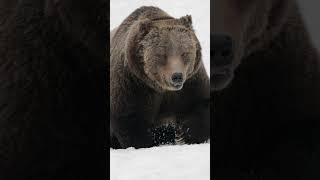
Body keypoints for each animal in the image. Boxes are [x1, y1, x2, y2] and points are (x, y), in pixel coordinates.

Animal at [110, 6, 210, 148]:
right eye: (162, 54)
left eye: (184, 53)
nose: (177, 76)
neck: (162, 88)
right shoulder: (133, 83)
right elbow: (129, 116)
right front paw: (145, 142)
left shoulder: (191, 82)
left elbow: (199, 104)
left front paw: (184, 135)